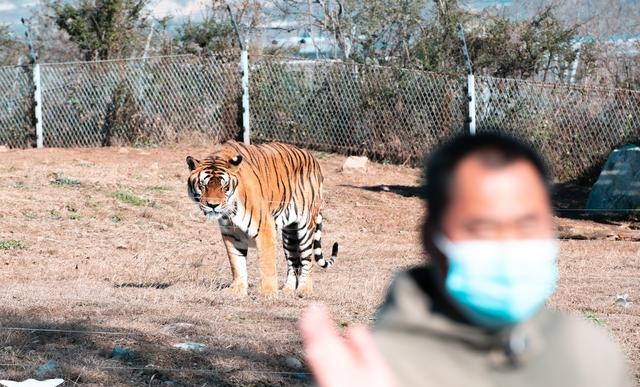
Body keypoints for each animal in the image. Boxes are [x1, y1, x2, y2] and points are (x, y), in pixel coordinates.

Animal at [185, 142, 338, 298]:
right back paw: (287, 290)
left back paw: (305, 289)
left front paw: (267, 292)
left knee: (307, 259)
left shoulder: (265, 229)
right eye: (203, 185)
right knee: (293, 263)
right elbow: (237, 263)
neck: (230, 212)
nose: (213, 205)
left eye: (225, 187)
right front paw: (237, 289)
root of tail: (313, 159)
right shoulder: (231, 234)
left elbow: (267, 263)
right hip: (289, 234)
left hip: (305, 227)